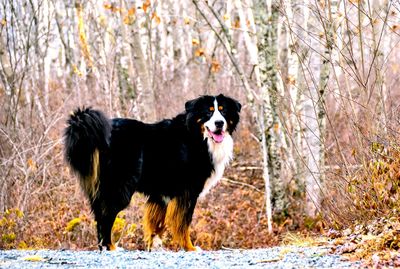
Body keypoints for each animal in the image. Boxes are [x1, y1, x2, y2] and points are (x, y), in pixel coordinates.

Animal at [64, 93, 242, 249]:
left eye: (223, 111)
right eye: (208, 112)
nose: (219, 123)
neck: (196, 136)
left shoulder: (161, 194)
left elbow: (156, 223)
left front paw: (155, 246)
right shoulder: (187, 192)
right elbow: (183, 224)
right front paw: (189, 248)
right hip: (120, 188)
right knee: (105, 216)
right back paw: (110, 247)